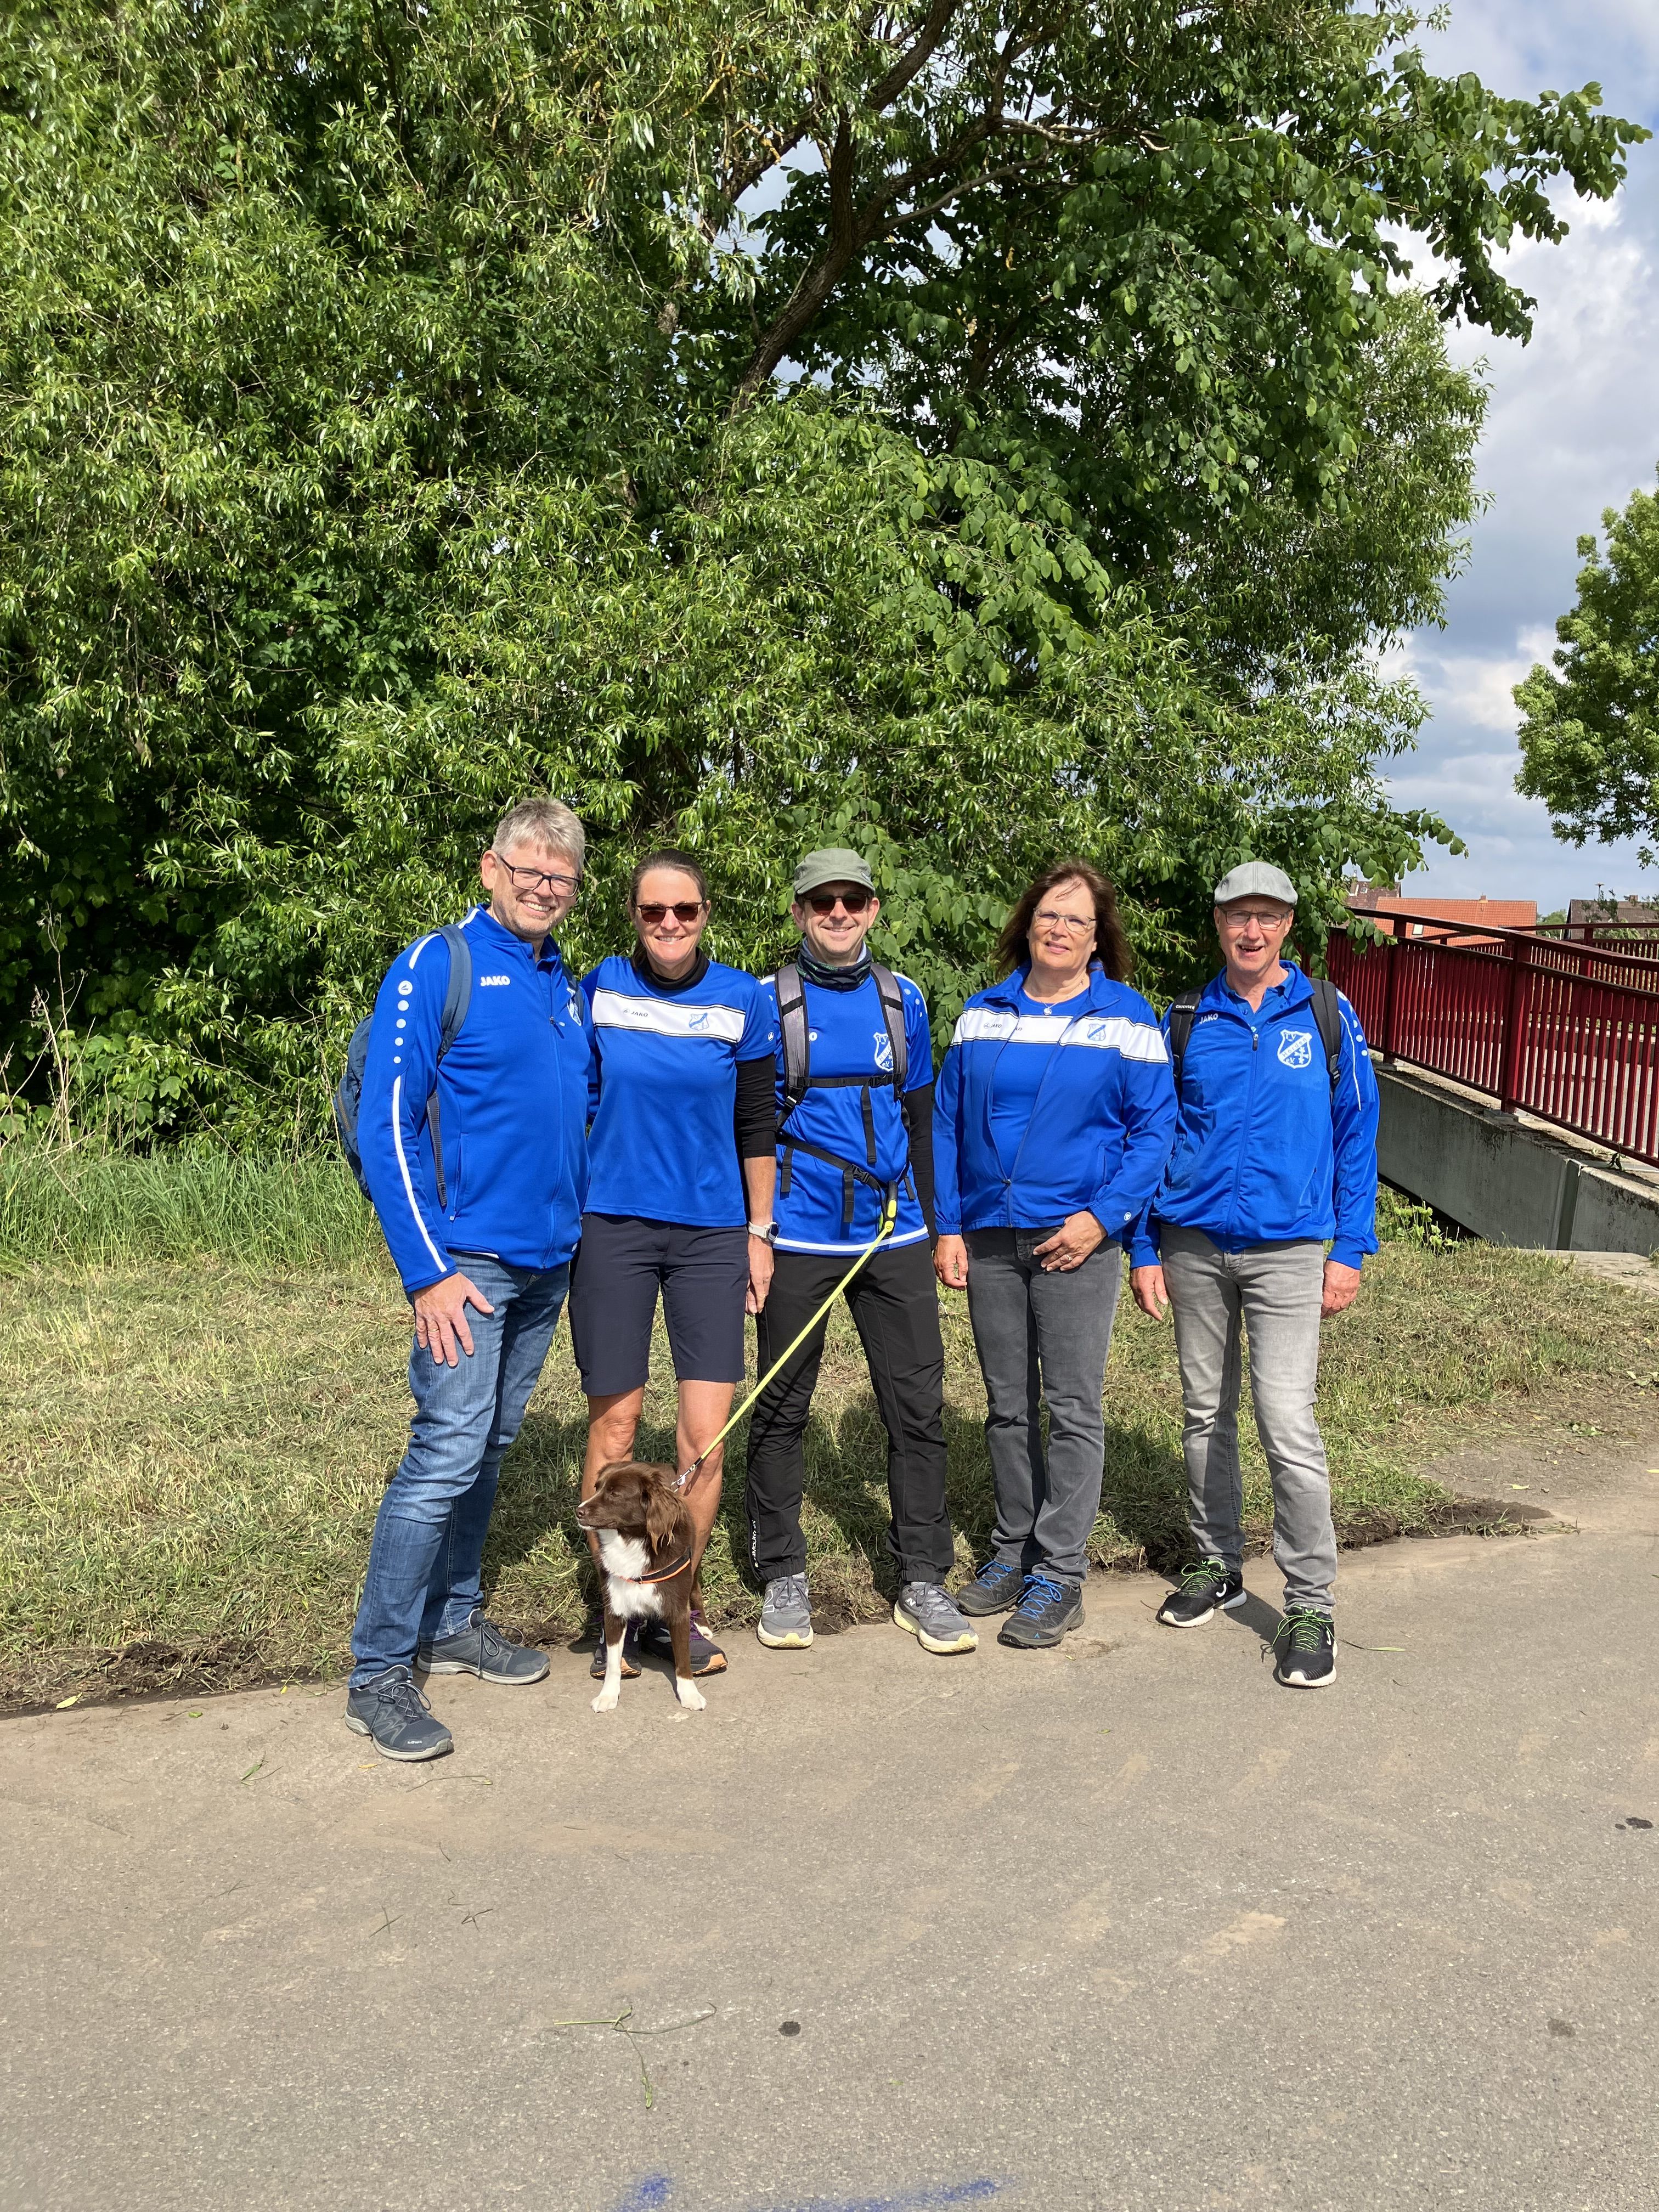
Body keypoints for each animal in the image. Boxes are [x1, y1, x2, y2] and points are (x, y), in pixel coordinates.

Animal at [574, 1460, 707, 1713]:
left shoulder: (677, 1609)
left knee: (695, 1588)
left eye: (615, 1494)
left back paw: (703, 1626)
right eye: (597, 1488)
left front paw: (690, 1694)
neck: (632, 1540)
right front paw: (608, 1695)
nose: (579, 1511)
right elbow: (613, 1662)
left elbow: (683, 1658)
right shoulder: (614, 1609)